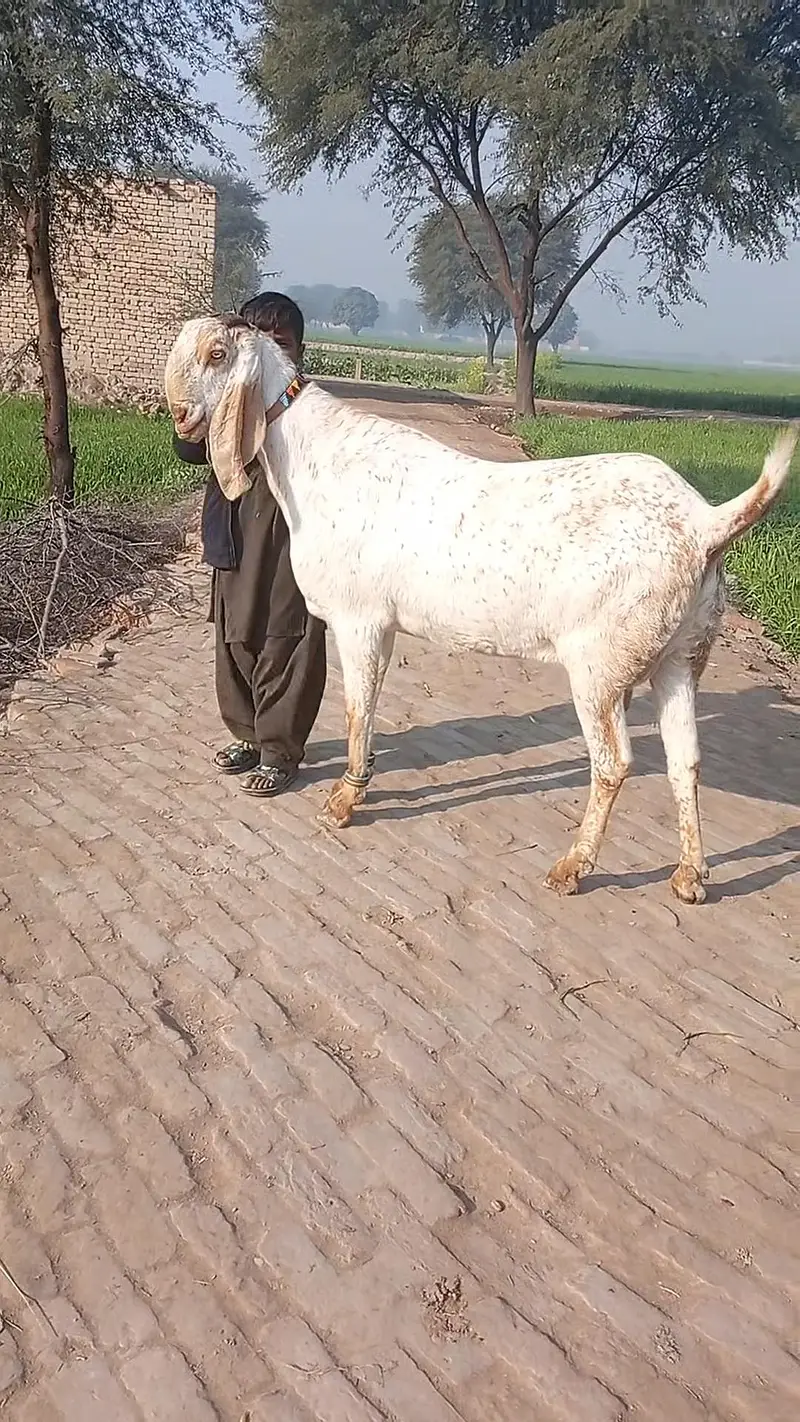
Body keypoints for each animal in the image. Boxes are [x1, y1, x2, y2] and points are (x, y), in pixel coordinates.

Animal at [165, 316, 797, 904]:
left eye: (216, 354)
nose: (178, 414)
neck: (310, 454)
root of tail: (702, 524)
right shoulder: (385, 624)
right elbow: (369, 704)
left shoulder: (359, 617)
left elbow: (355, 710)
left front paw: (343, 801)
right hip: (681, 655)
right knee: (686, 758)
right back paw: (689, 876)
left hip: (600, 665)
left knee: (615, 762)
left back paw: (573, 867)